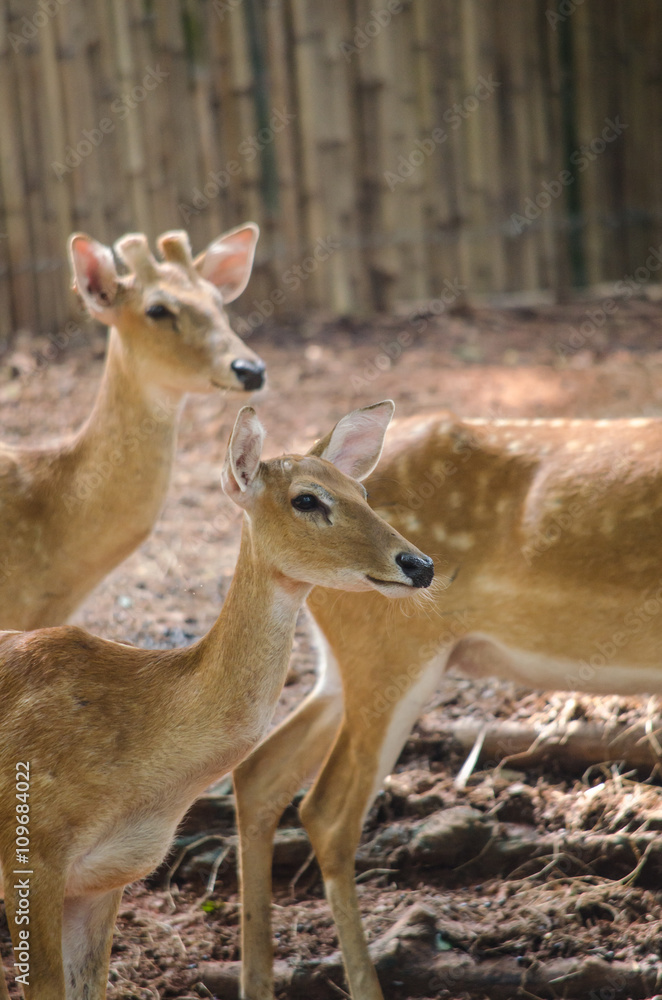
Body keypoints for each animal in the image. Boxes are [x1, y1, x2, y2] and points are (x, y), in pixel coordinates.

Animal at [234, 409, 662, 1000]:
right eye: (307, 500)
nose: (420, 565)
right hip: (392, 646)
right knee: (327, 810)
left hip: (343, 666)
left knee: (260, 773)